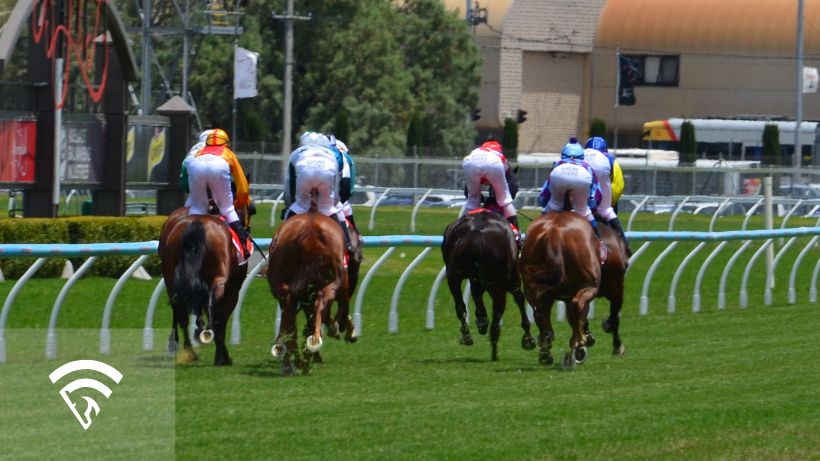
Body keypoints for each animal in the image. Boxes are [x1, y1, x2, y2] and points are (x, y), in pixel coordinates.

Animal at [158, 204, 250, 362]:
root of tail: (197, 224)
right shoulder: (233, 293)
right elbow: (221, 318)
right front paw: (222, 356)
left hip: (170, 276)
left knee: (180, 309)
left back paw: (188, 348)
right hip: (220, 276)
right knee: (212, 303)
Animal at [266, 189, 350, 376]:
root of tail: (309, 233)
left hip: (284, 287)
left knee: (291, 321)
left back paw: (293, 361)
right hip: (332, 284)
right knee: (321, 304)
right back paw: (311, 348)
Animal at [442, 210, 540, 362]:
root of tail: (476, 235)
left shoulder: (476, 280)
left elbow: (476, 298)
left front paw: (481, 320)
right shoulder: (512, 280)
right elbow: (519, 299)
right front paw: (528, 338)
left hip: (453, 276)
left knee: (460, 306)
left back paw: (467, 334)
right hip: (498, 284)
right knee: (497, 314)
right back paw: (494, 347)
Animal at [520, 211, 604, 366]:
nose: (591, 339)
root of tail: (553, 233)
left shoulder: (550, 295)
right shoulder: (580, 291)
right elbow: (579, 315)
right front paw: (579, 346)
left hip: (531, 288)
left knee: (539, 313)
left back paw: (545, 352)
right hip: (589, 286)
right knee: (577, 305)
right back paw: (579, 344)